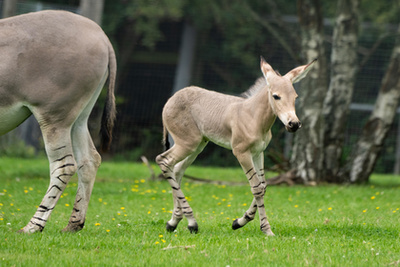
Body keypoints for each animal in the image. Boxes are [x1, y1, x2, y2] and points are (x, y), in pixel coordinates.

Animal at [156, 57, 316, 236]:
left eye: (295, 97)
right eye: (276, 96)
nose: (294, 124)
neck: (254, 117)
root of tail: (172, 98)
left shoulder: (258, 153)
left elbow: (263, 186)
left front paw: (239, 221)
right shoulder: (241, 152)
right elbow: (257, 188)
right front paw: (266, 229)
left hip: (197, 146)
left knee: (176, 169)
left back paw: (174, 222)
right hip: (187, 143)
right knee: (163, 161)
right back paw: (192, 223)